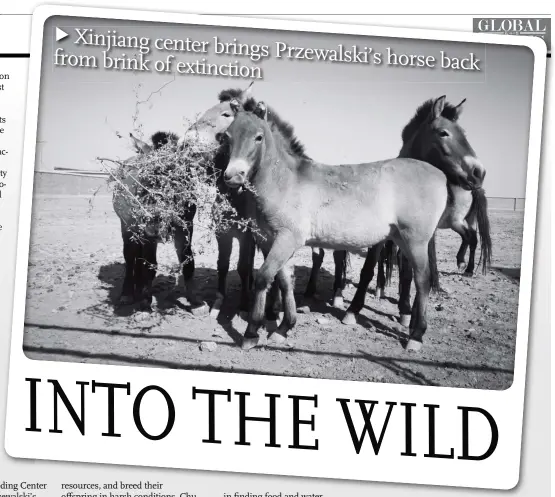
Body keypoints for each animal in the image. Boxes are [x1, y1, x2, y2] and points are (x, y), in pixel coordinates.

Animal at [222, 101, 456, 350]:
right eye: (228, 136)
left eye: (258, 137)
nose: (233, 176)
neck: (285, 181)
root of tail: (439, 175)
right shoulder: (272, 241)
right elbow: (284, 282)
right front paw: (284, 327)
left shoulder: (287, 239)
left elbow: (263, 278)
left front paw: (251, 333)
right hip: (401, 239)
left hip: (416, 241)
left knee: (423, 280)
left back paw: (416, 336)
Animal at [344, 96, 490, 328]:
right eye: (443, 133)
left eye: (464, 133)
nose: (479, 172)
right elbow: (368, 269)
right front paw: (353, 309)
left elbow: (409, 273)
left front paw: (406, 311)